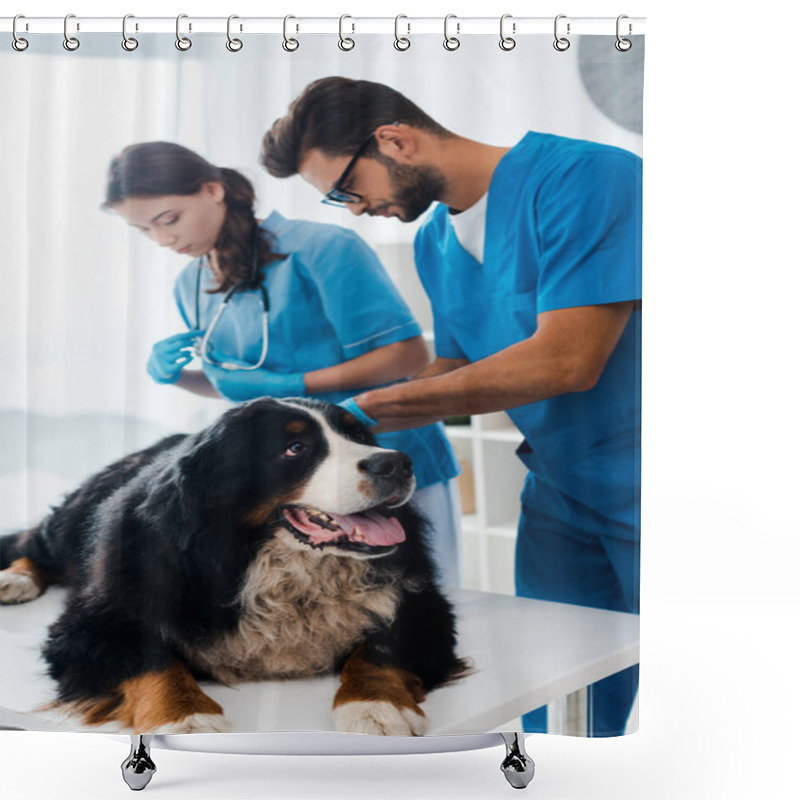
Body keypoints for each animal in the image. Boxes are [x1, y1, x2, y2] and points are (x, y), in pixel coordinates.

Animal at [0, 400, 468, 736]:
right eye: (295, 448)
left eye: (359, 436)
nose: (396, 462)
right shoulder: (98, 623)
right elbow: (154, 663)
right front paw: (186, 718)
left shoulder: (421, 603)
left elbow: (383, 648)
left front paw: (376, 706)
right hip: (75, 521)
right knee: (34, 540)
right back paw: (16, 578)